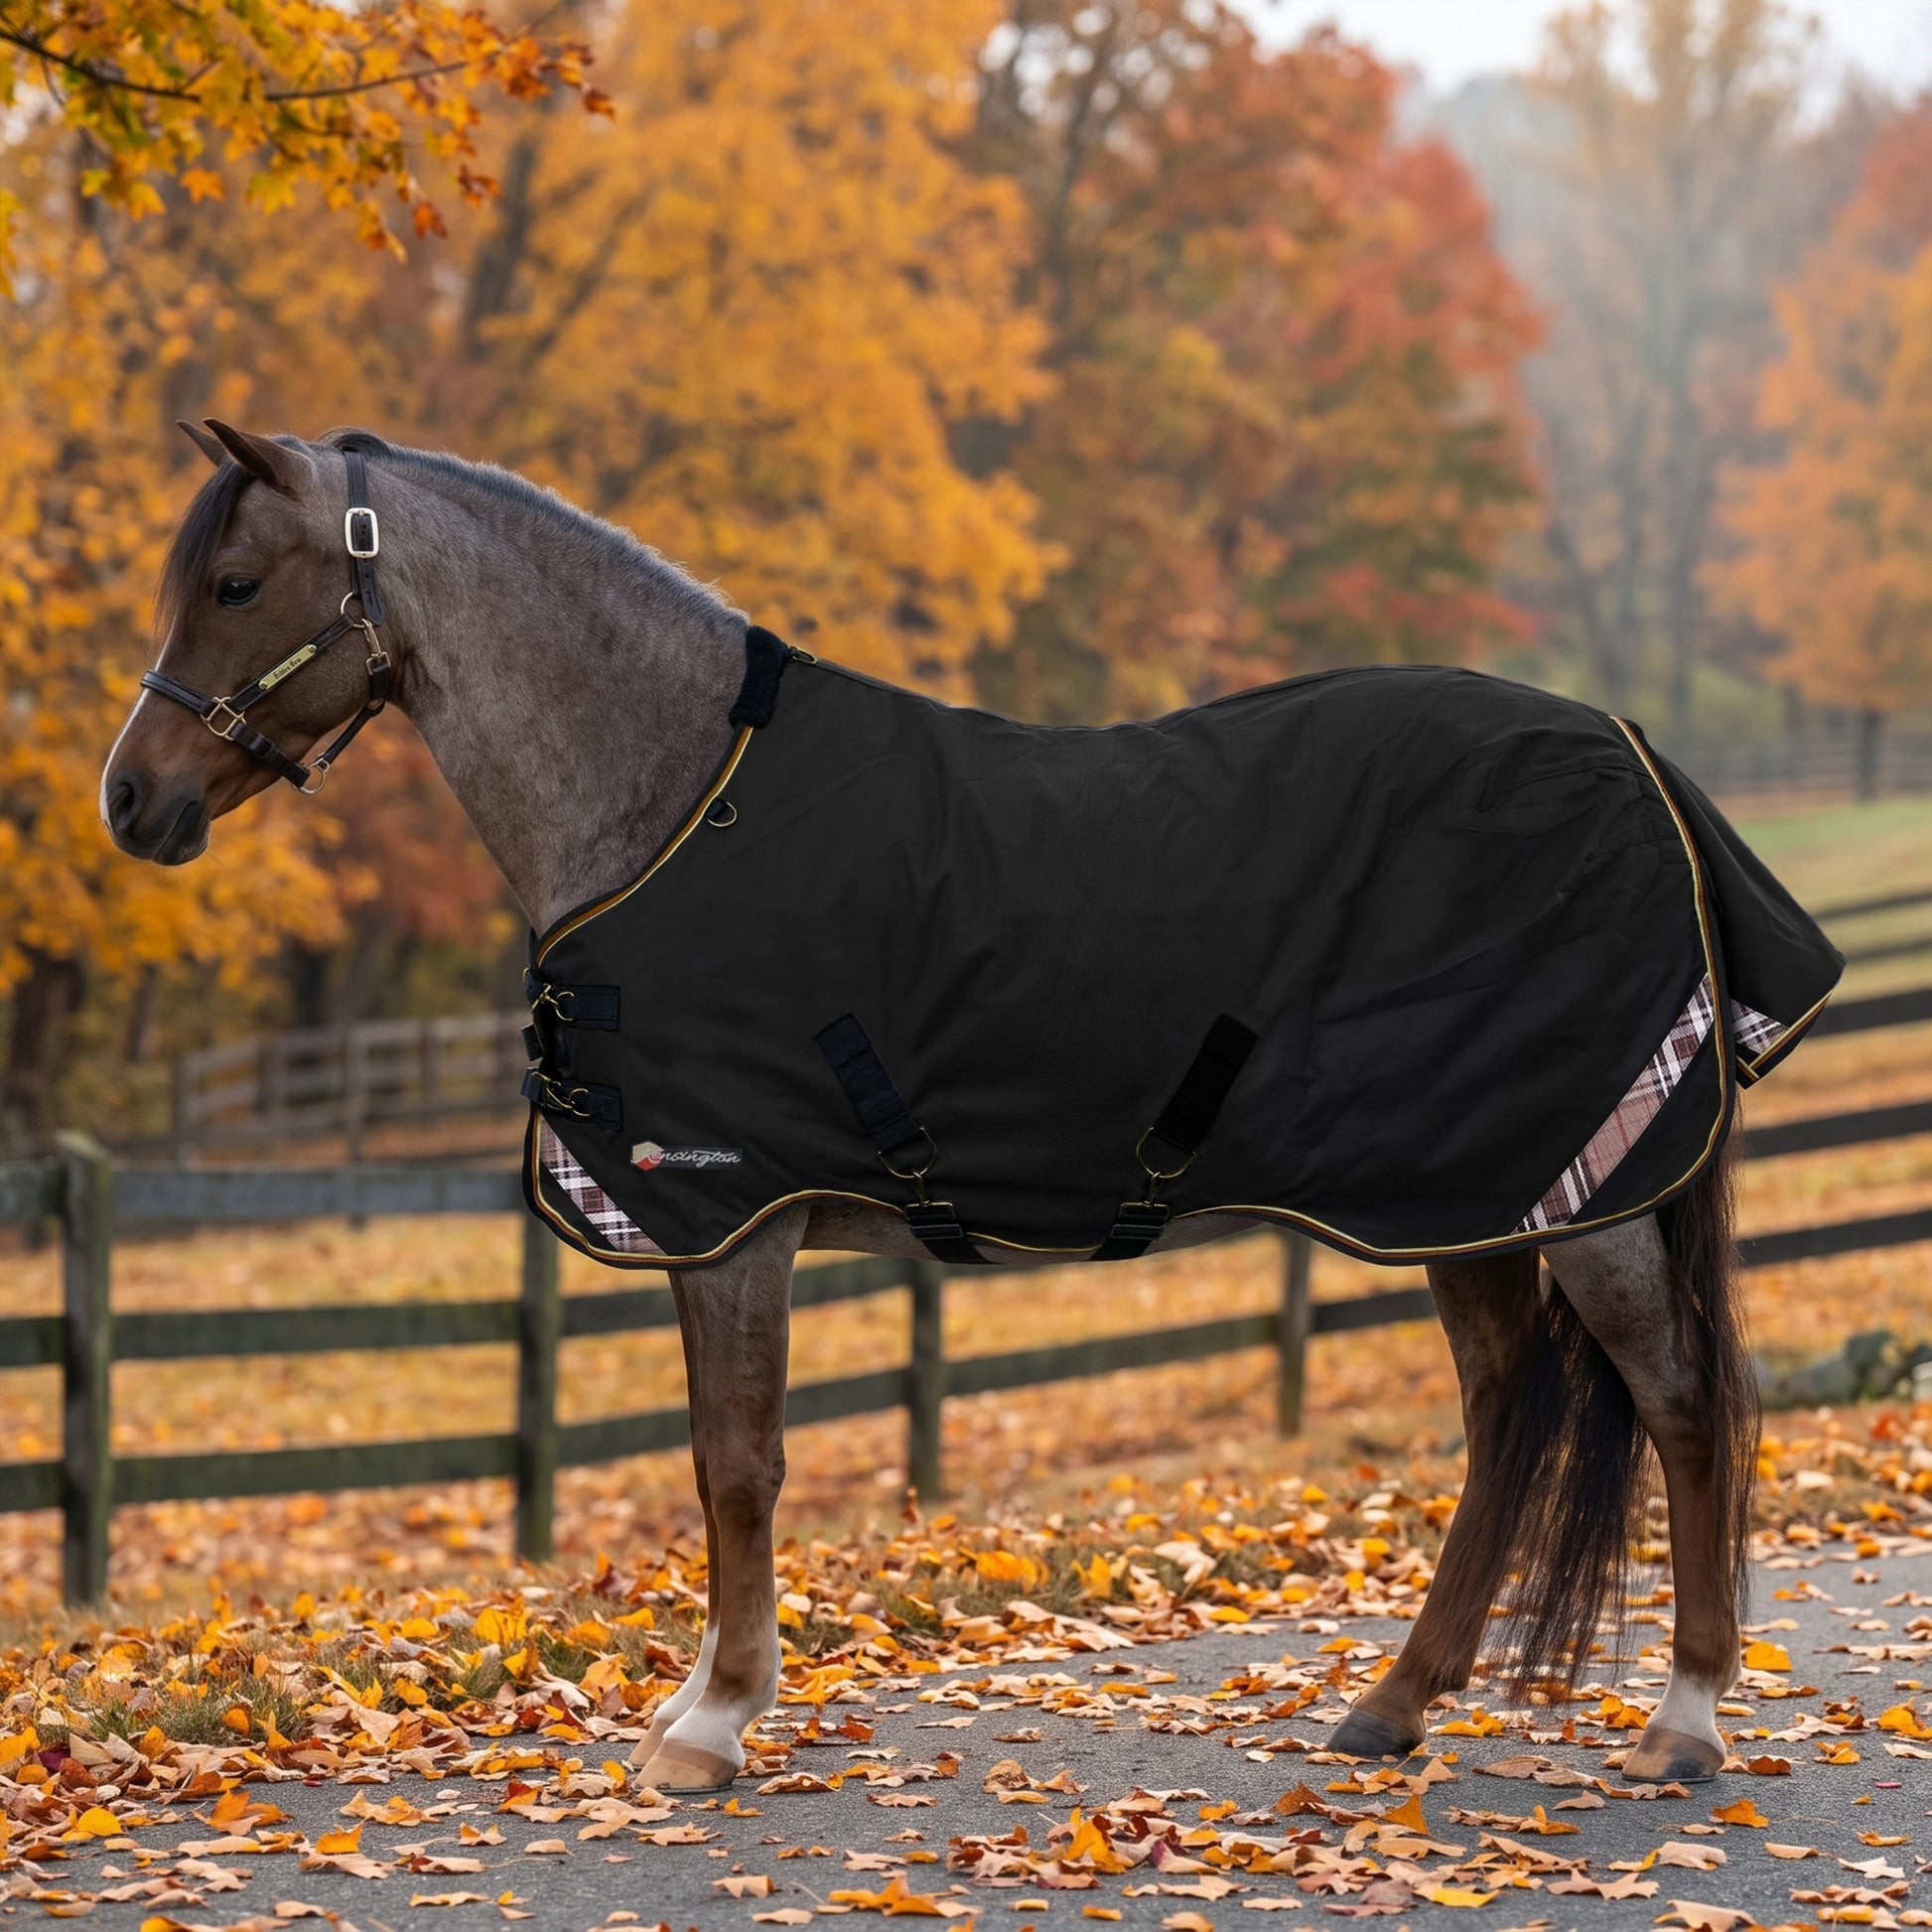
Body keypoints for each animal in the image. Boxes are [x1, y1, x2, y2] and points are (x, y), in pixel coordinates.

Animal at [102, 420, 1823, 1793]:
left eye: (236, 583)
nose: (132, 799)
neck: (675, 800)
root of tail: (1629, 751)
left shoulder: (732, 1216)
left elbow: (738, 1462)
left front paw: (710, 1724)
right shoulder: (711, 1229)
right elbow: (716, 1460)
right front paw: (699, 1701)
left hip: (1578, 1191)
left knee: (1681, 1403)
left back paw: (1681, 1718)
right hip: (1467, 1197)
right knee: (1506, 1407)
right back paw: (1394, 1702)